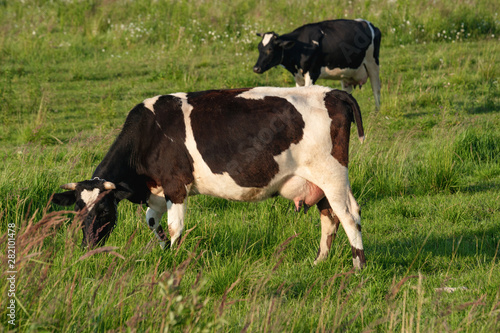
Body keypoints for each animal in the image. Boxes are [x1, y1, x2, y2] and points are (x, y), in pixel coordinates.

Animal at [51, 85, 368, 268]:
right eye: (78, 213)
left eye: (104, 211)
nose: (87, 249)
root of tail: (332, 92)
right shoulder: (157, 193)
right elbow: (153, 224)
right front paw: (164, 253)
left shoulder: (176, 186)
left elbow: (175, 227)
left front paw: (174, 261)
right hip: (317, 182)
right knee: (330, 218)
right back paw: (319, 262)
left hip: (331, 173)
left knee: (349, 215)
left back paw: (358, 267)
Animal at [254, 18, 382, 109]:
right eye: (259, 47)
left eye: (270, 49)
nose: (256, 68)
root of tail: (368, 24)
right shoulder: (298, 77)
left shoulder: (312, 72)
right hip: (347, 74)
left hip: (373, 64)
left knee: (376, 90)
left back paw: (377, 113)